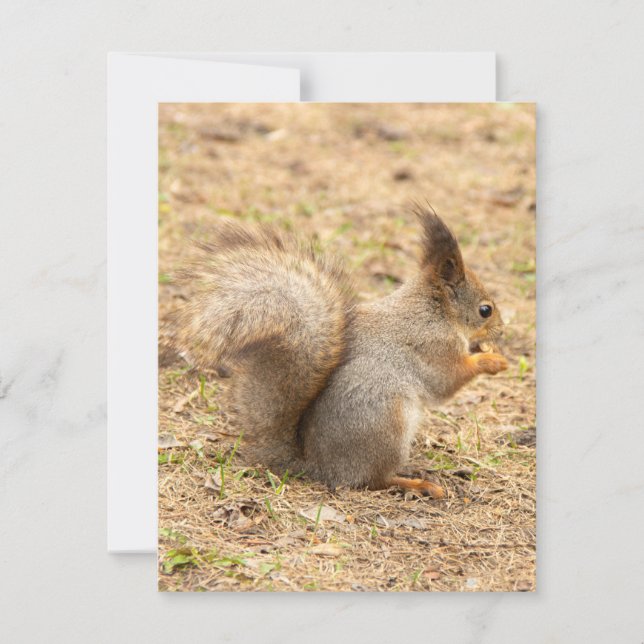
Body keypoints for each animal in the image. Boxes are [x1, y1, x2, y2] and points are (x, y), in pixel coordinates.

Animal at [167, 206, 508, 499]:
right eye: (485, 310)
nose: (502, 331)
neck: (434, 311)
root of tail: (319, 467)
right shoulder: (434, 346)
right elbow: (447, 381)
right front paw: (492, 360)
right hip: (386, 424)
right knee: (374, 480)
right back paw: (417, 484)